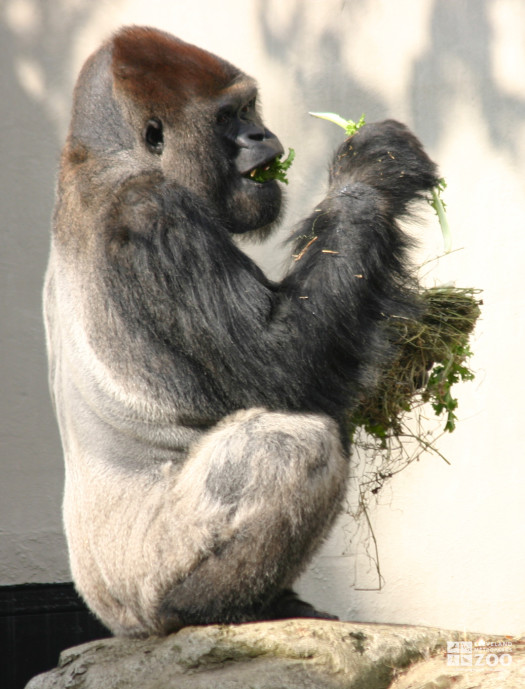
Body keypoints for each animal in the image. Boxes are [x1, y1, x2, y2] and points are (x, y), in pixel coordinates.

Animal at [44, 26, 438, 640]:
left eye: (250, 109)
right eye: (228, 116)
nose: (259, 133)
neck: (101, 157)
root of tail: (113, 617)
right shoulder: (154, 213)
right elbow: (283, 364)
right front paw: (371, 176)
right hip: (142, 579)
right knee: (290, 442)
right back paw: (205, 608)